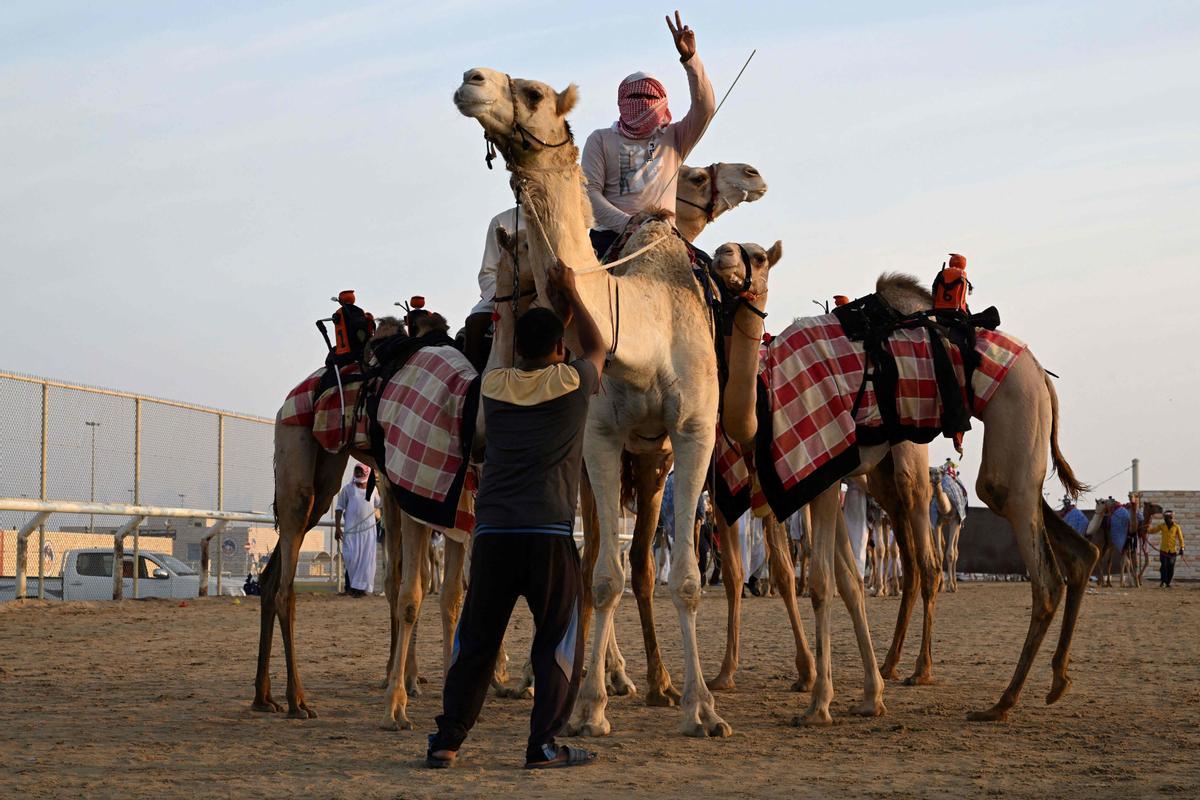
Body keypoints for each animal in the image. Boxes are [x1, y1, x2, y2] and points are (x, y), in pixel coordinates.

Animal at [456, 68, 729, 738]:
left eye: (531, 92)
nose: (471, 81)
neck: (648, 329)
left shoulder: (694, 431)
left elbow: (686, 580)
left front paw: (702, 709)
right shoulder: (598, 438)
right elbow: (603, 576)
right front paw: (586, 709)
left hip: (654, 458)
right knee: (591, 561)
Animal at [715, 242, 1099, 719]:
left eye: (757, 256)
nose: (721, 255)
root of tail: (1042, 373)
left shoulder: (814, 470)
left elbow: (820, 583)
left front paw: (818, 702)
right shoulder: (819, 480)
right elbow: (847, 582)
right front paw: (864, 696)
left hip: (1004, 413)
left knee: (1027, 575)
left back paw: (991, 699)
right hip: (982, 464)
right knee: (1069, 547)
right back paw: (1054, 679)